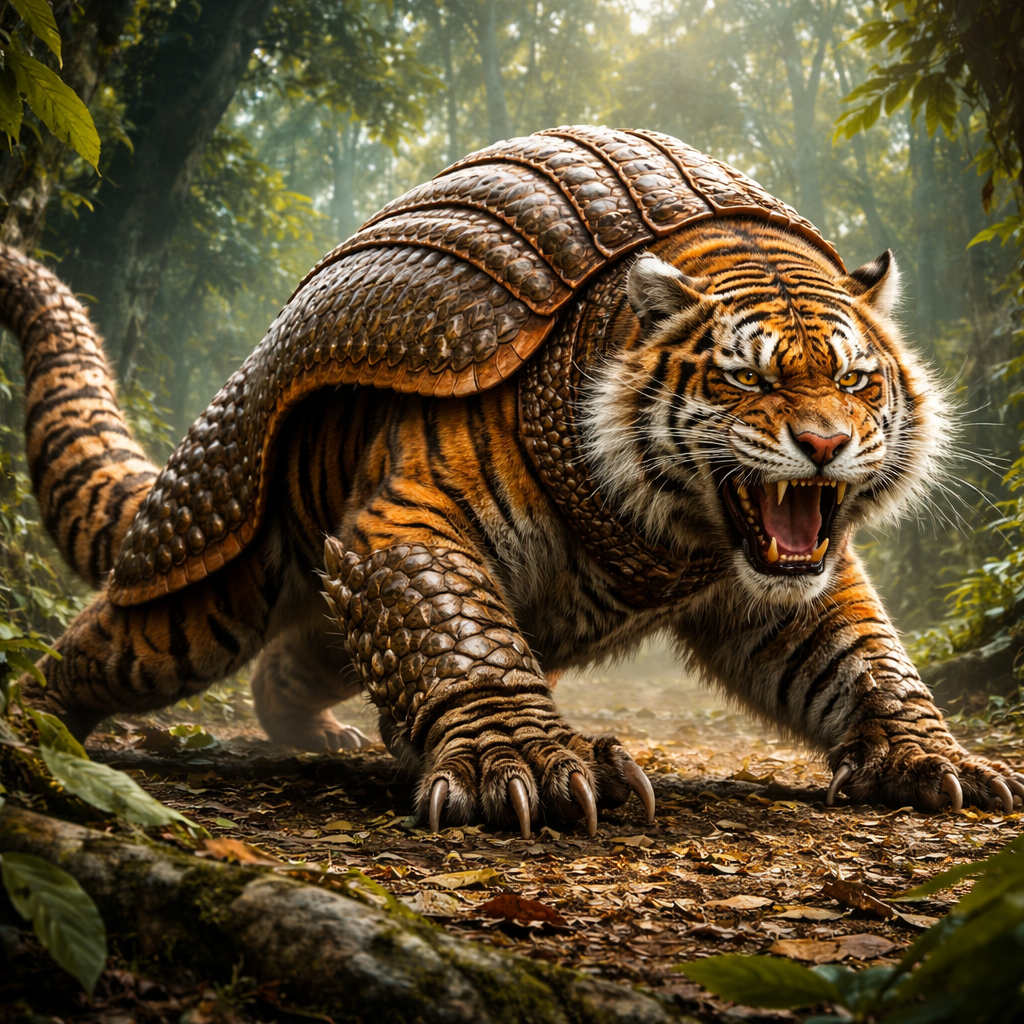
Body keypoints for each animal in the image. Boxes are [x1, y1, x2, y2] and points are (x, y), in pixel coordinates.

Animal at [6, 128, 1023, 837]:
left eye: (856, 380)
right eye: (748, 380)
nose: (824, 444)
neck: (678, 530)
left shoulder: (786, 586)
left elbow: (862, 656)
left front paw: (937, 760)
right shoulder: (404, 524)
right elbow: (462, 638)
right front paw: (529, 765)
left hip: (321, 621)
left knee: (296, 662)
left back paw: (323, 738)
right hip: (205, 580)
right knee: (102, 649)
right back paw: (28, 734)